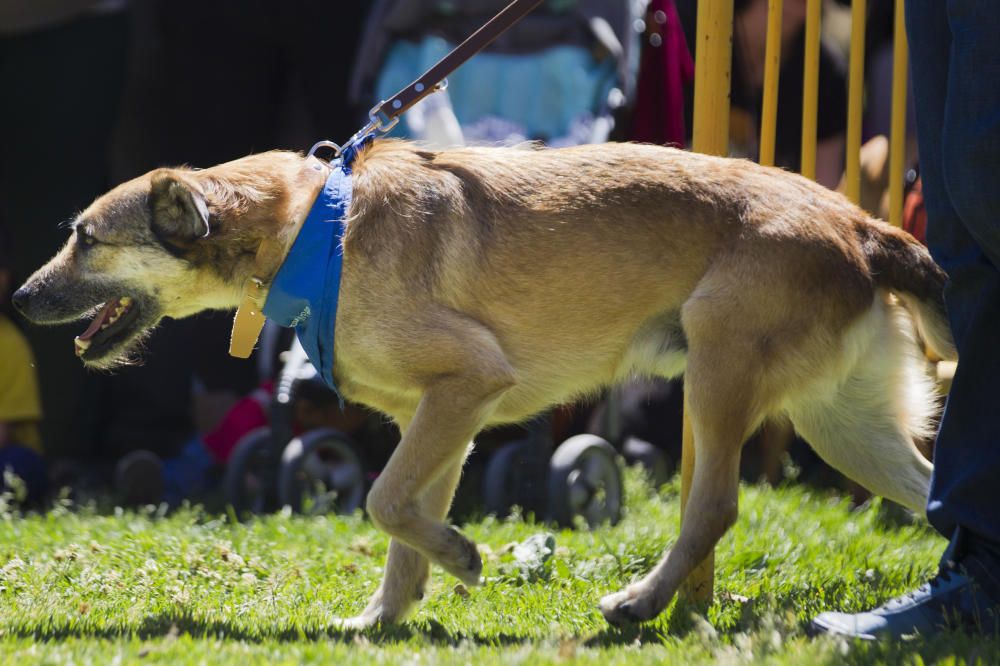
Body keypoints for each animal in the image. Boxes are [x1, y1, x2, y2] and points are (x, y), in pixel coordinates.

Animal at [13, 139, 952, 624]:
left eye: (86, 240)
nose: (17, 300)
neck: (313, 225)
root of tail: (861, 224)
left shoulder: (468, 385)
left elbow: (384, 502)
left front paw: (461, 558)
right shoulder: (438, 416)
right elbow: (403, 520)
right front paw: (384, 621)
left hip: (717, 376)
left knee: (713, 507)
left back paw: (642, 603)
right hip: (847, 428)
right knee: (933, 493)